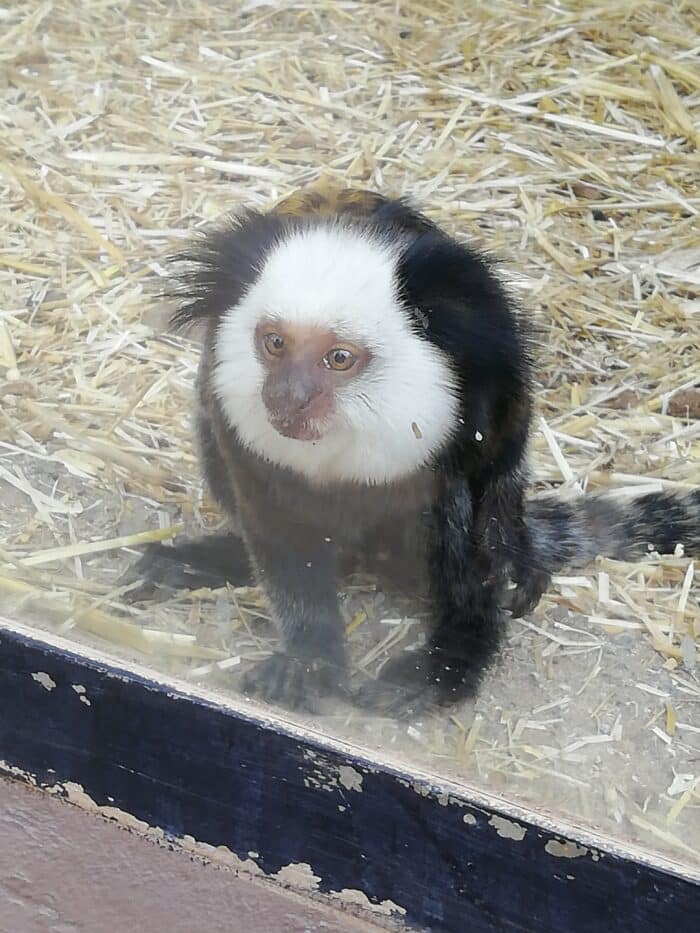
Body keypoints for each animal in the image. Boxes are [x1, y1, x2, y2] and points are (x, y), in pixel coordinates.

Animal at [126, 185, 700, 715]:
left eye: (338, 358)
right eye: (275, 344)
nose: (286, 396)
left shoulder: (484, 359)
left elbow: (496, 480)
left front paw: (479, 615)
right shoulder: (244, 438)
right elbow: (278, 535)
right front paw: (309, 659)